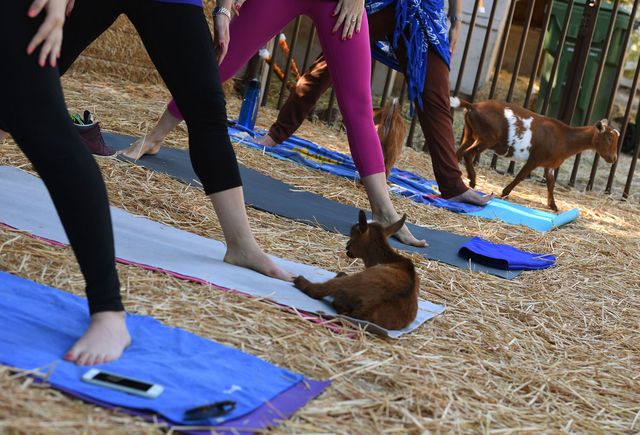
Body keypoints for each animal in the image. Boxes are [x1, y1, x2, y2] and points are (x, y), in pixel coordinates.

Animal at [450, 98, 620, 210]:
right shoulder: (535, 158)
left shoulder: (549, 166)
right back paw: (472, 181)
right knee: (468, 155)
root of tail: (473, 106)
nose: (613, 158)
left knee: (458, 153)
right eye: (609, 138)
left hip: (470, 134)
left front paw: (553, 206)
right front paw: (504, 193)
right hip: (486, 138)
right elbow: (521, 176)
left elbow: (551, 184)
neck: (564, 138)